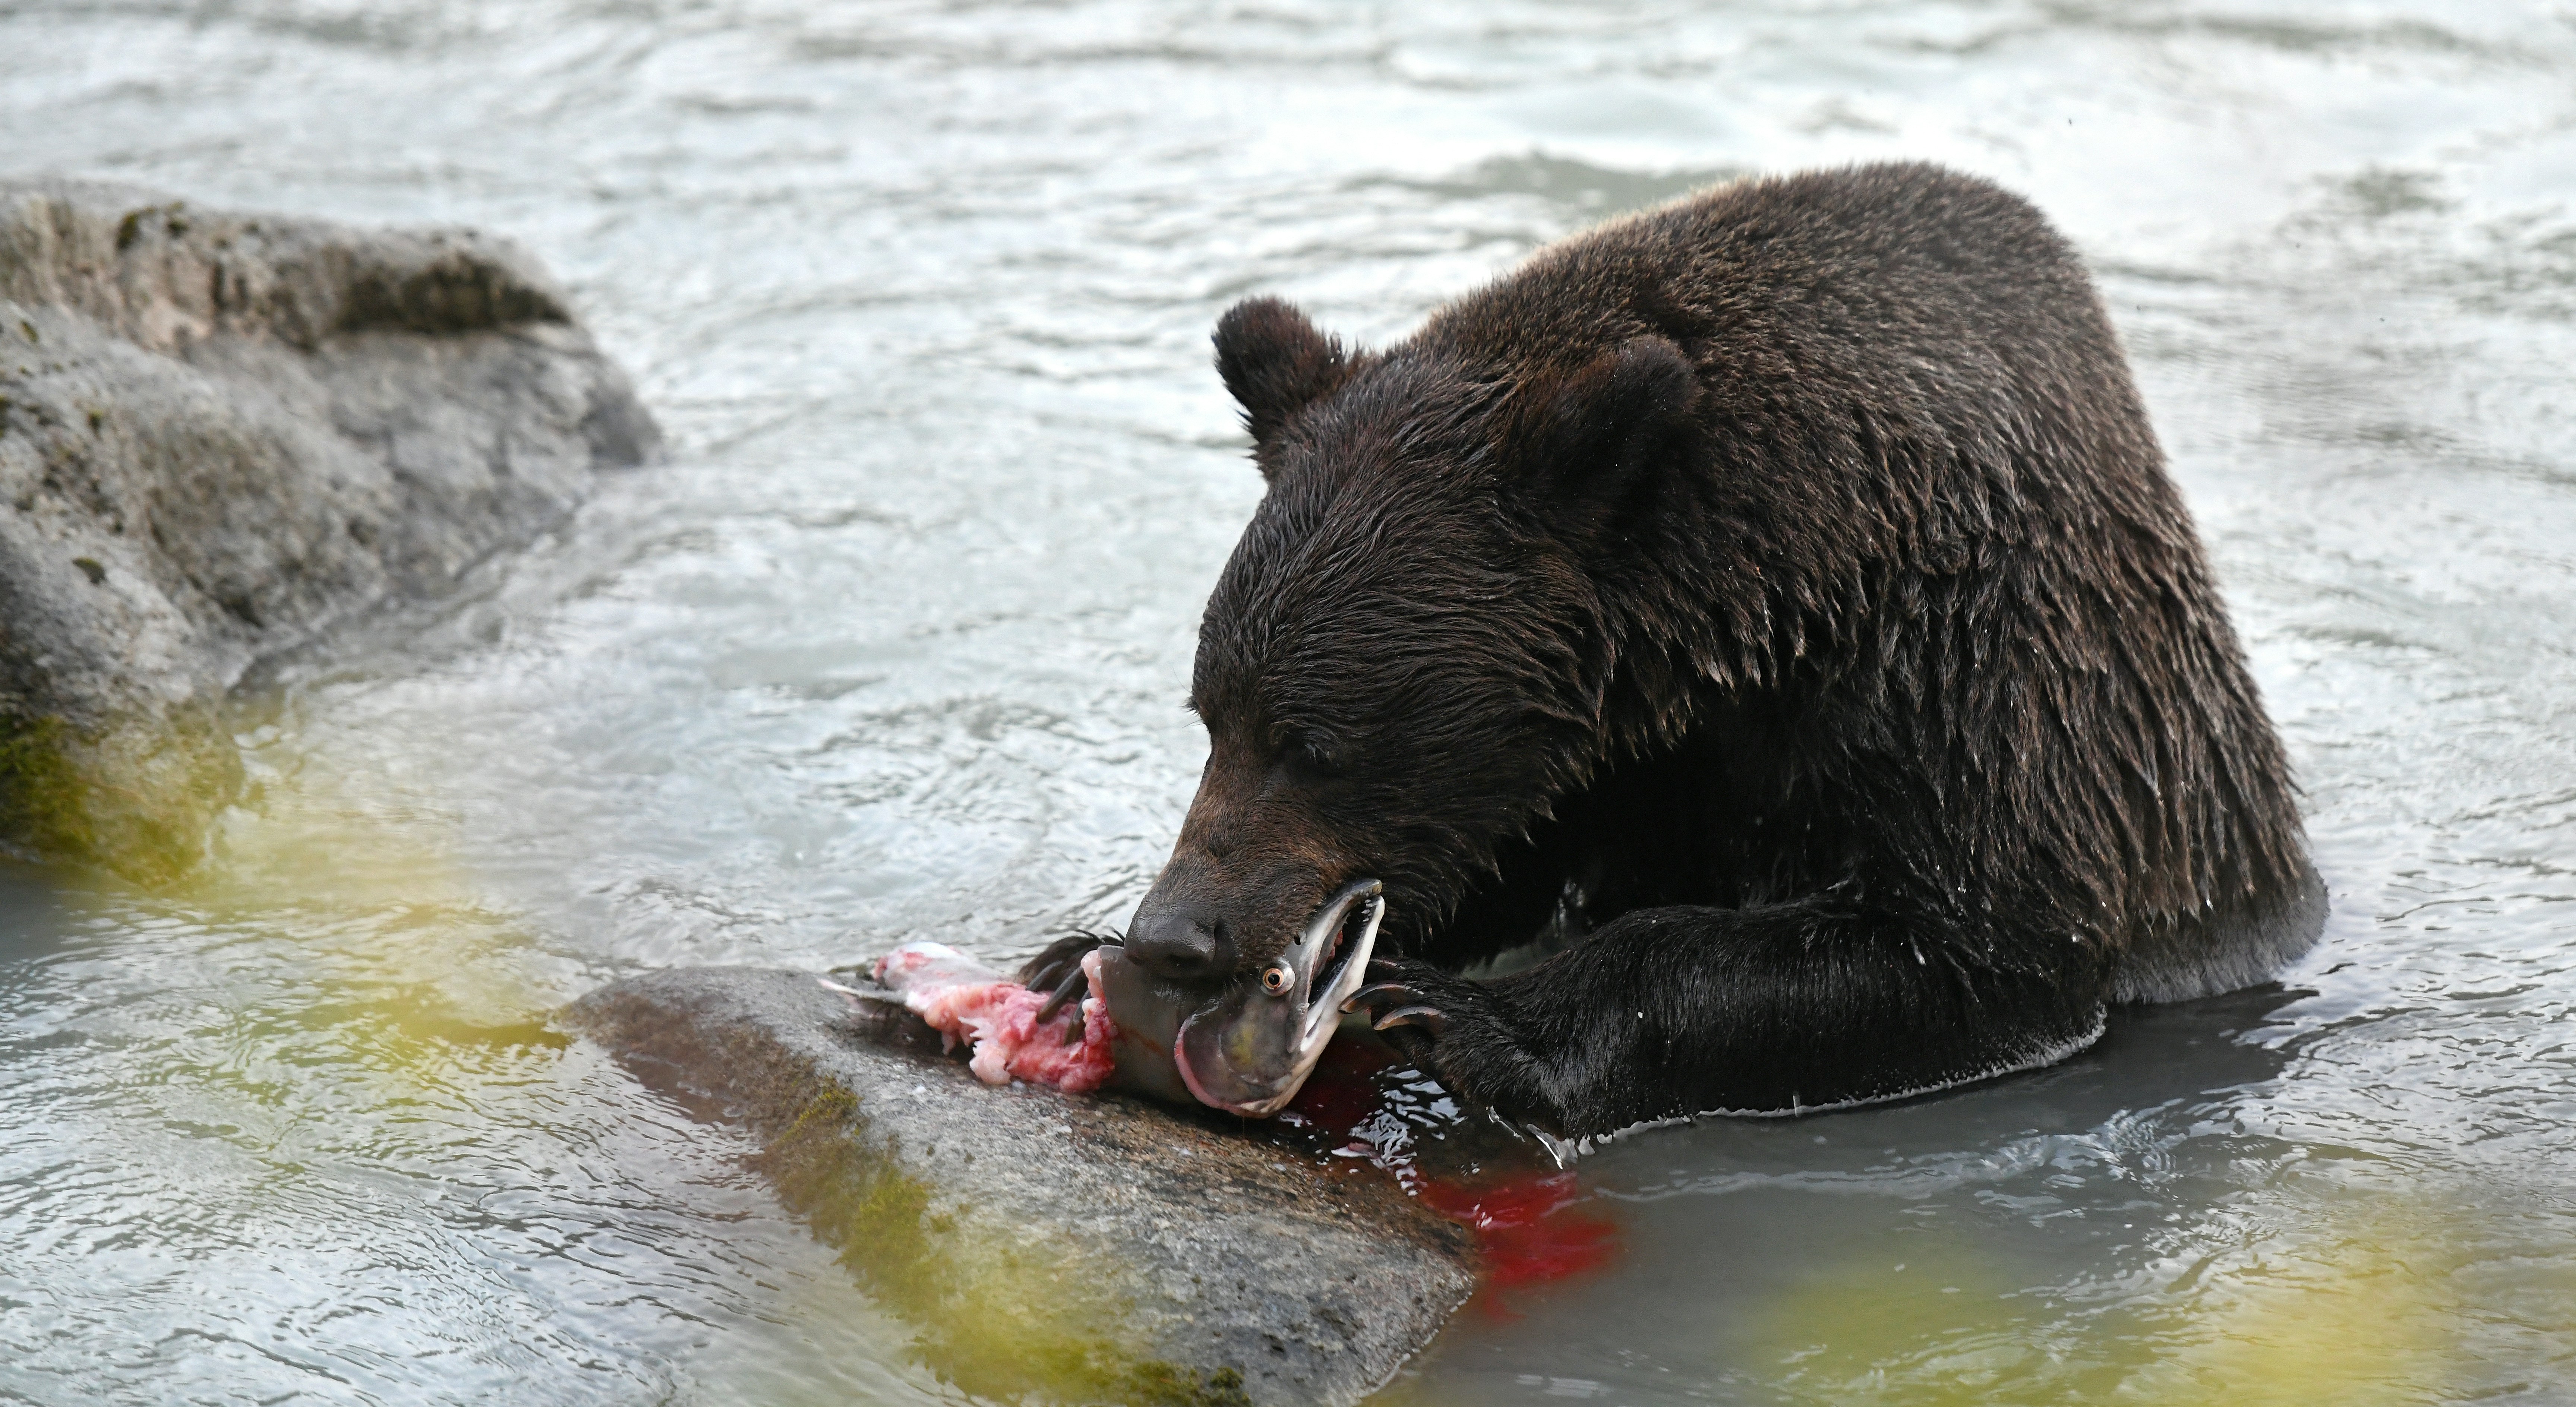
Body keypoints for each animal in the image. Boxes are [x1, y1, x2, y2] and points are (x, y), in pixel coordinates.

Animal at [1025, 161, 2326, 1144]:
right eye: (1210, 714)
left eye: (1315, 742)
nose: (1179, 929)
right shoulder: (1620, 745)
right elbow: (1512, 860)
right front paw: (1067, 954)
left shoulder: (1982, 684)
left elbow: (1960, 948)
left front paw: (1473, 1021)